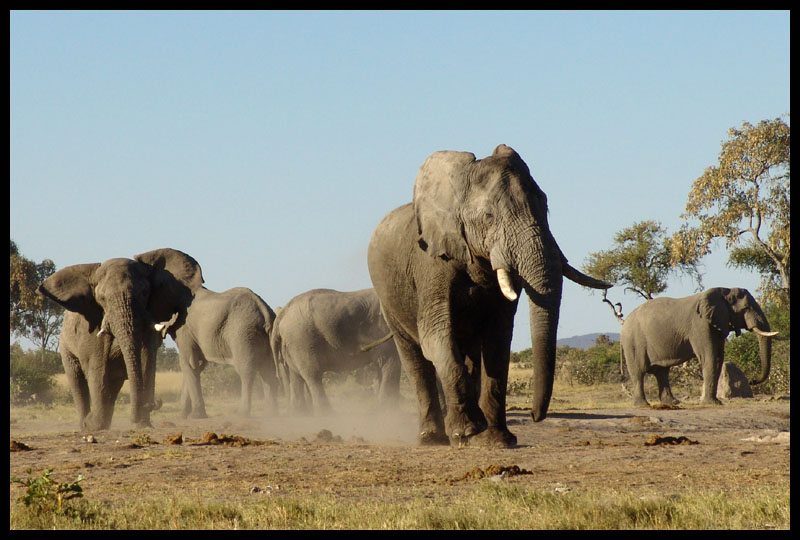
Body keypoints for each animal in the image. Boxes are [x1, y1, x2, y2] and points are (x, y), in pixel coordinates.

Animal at [39, 248, 205, 430]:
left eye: (144, 293)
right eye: (102, 299)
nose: (153, 403)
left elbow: (147, 359)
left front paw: (143, 425)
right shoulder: (90, 328)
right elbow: (97, 368)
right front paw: (94, 425)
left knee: (113, 381)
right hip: (65, 345)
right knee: (77, 379)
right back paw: (86, 424)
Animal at [173, 286, 282, 418]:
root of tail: (264, 308)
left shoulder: (184, 329)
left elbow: (189, 364)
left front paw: (194, 416)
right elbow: (195, 366)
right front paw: (183, 416)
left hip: (242, 332)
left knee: (246, 371)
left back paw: (242, 414)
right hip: (265, 336)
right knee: (268, 371)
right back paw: (271, 414)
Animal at [270, 288, 404, 416]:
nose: (363, 348)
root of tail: (282, 315)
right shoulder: (383, 329)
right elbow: (390, 362)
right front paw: (390, 413)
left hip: (292, 344)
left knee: (296, 377)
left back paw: (301, 415)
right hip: (302, 339)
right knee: (313, 375)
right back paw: (328, 415)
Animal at [368, 143, 612, 448]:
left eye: (545, 207)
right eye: (489, 217)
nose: (534, 415)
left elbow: (498, 341)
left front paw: (498, 440)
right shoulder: (431, 267)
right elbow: (436, 336)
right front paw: (468, 431)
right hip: (388, 301)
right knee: (416, 360)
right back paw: (433, 439)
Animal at [620, 286, 780, 404]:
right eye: (746, 308)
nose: (752, 380)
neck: (724, 291)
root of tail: (624, 322)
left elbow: (718, 358)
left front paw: (715, 403)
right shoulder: (700, 324)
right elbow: (709, 357)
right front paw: (711, 404)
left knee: (662, 372)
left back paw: (672, 403)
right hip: (632, 342)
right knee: (638, 372)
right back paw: (643, 405)